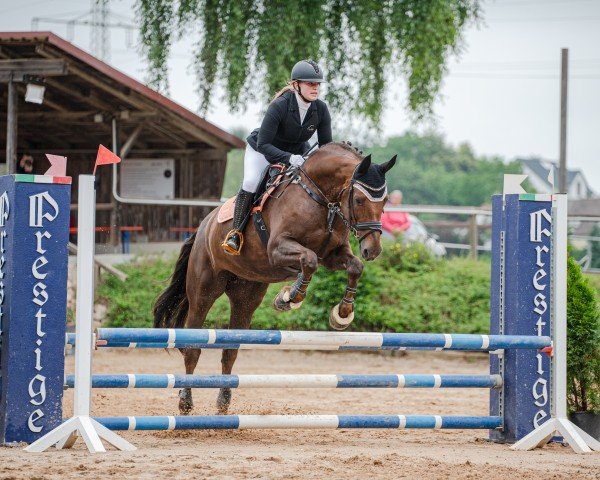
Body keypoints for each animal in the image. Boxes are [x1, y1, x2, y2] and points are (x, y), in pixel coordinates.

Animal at [154, 142, 398, 412]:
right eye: (358, 199)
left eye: (385, 201)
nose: (372, 250)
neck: (321, 198)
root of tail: (201, 228)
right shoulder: (278, 249)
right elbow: (309, 261)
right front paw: (290, 297)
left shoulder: (333, 254)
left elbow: (353, 267)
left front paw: (342, 314)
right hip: (204, 291)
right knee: (193, 347)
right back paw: (186, 401)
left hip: (245, 297)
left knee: (230, 349)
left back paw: (224, 401)